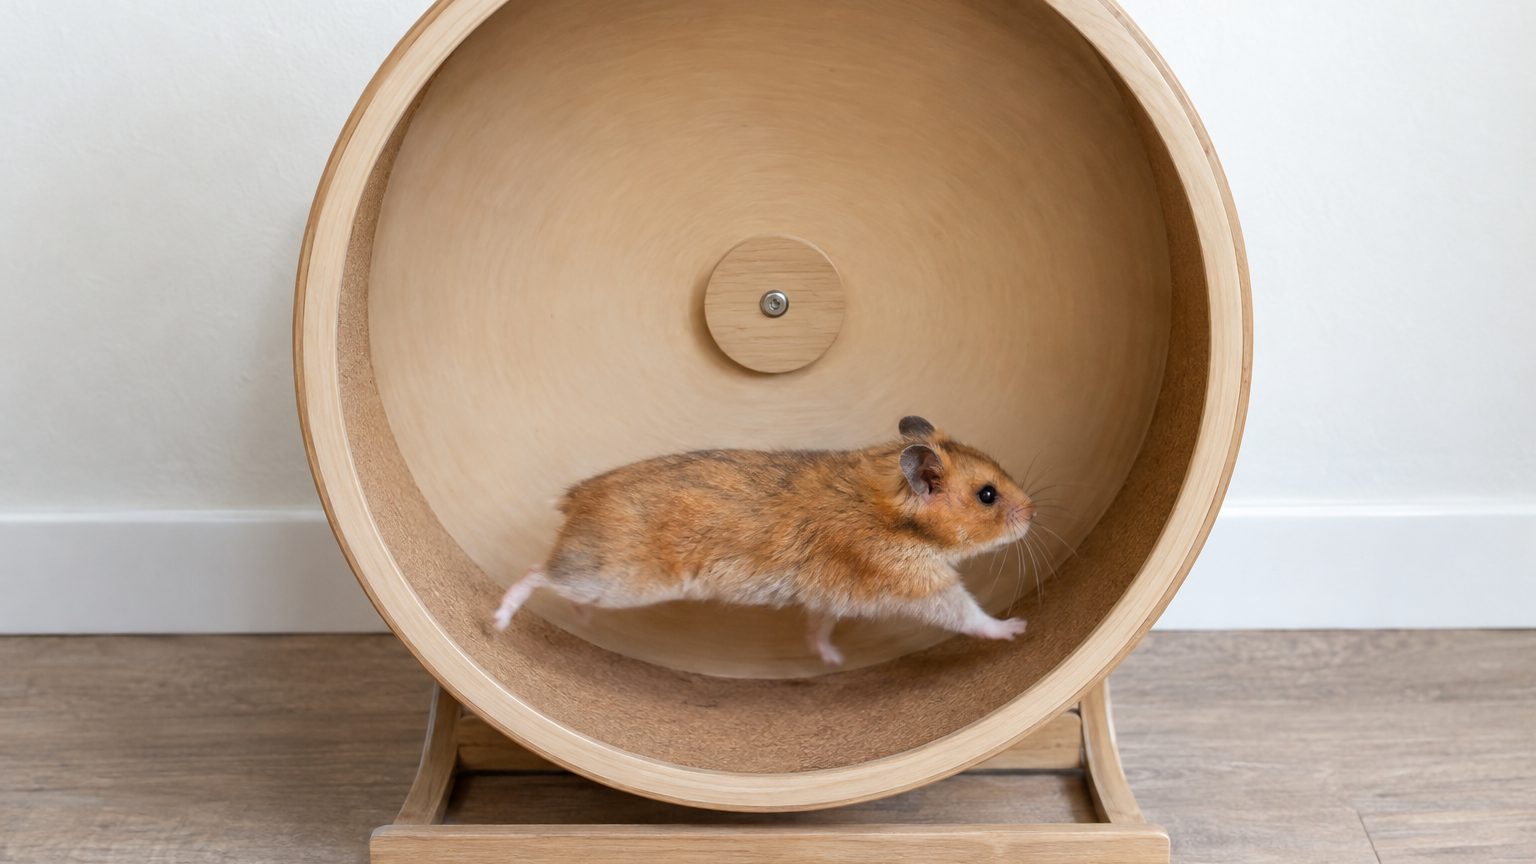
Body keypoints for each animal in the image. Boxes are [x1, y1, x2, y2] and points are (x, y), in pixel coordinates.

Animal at [492, 416, 1034, 666]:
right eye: (988, 495)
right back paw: (498, 621)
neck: (891, 511)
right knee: (536, 574)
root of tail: (573, 498)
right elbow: (970, 615)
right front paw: (1016, 628)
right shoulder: (920, 583)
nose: (1034, 512)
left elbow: (819, 628)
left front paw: (833, 660)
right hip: (617, 580)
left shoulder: (830, 599)